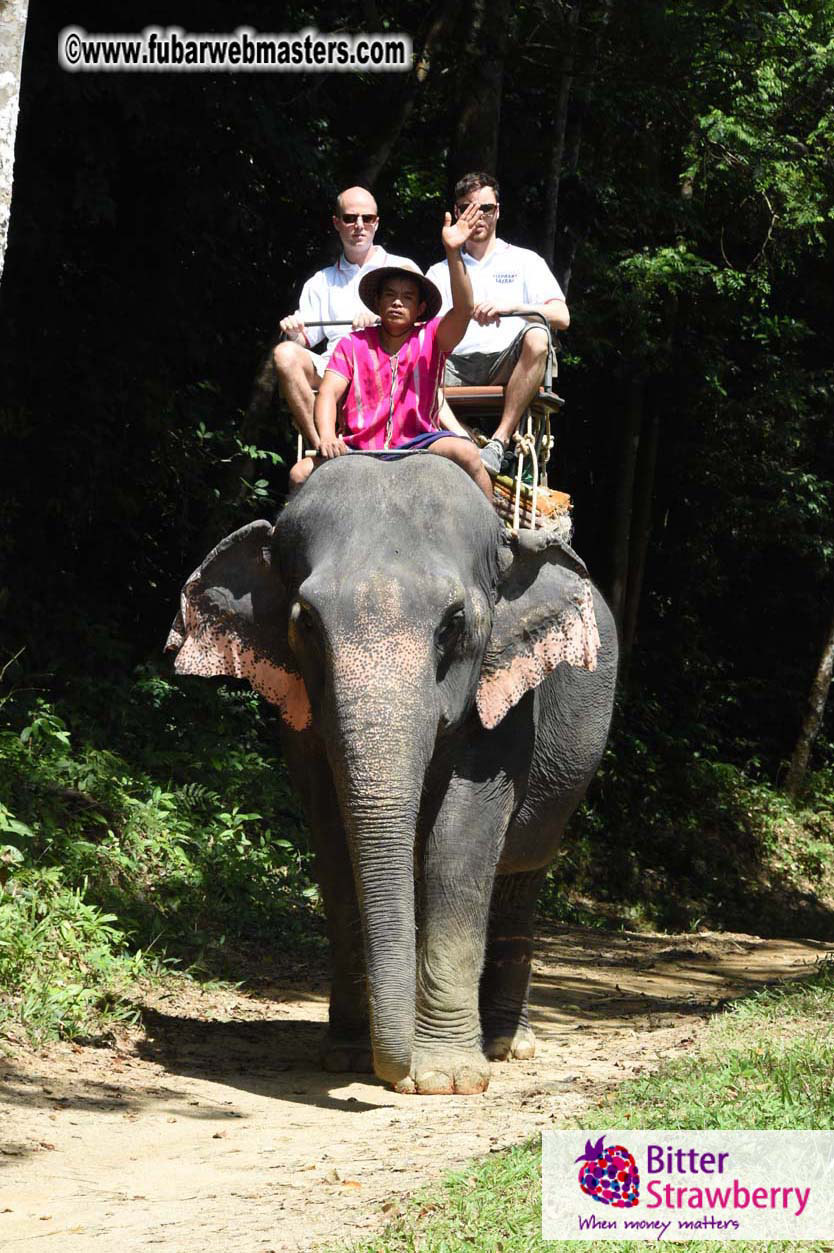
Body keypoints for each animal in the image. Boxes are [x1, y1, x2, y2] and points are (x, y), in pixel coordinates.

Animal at [166, 453, 617, 1095]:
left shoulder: (504, 695)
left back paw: (506, 1045)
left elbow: (461, 842)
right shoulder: (299, 715)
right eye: (306, 623)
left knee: (521, 873)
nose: (393, 1074)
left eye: (454, 623)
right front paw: (349, 1058)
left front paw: (446, 1079)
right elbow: (335, 844)